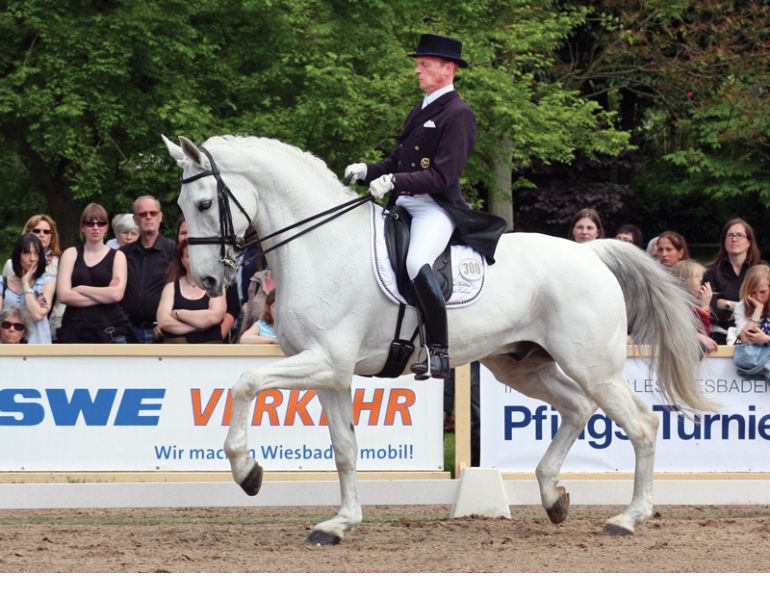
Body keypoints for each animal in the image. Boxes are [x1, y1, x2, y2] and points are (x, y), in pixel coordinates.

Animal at [163, 134, 715, 545]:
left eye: (205, 202)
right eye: (182, 204)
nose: (207, 281)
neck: (322, 245)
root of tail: (590, 253)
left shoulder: (324, 361)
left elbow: (245, 381)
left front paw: (247, 472)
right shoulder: (331, 373)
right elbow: (344, 447)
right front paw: (340, 523)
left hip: (594, 365)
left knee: (641, 425)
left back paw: (628, 518)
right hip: (521, 363)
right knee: (578, 408)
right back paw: (553, 496)